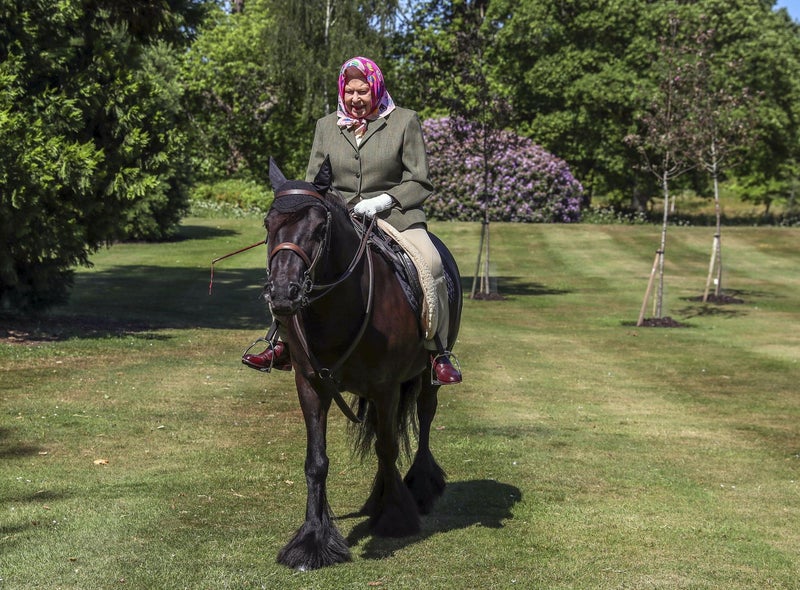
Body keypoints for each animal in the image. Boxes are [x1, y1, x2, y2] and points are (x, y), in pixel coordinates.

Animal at [264, 160, 462, 572]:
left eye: (320, 228)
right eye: (268, 224)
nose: (283, 294)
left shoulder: (385, 388)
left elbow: (387, 448)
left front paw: (395, 517)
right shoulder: (310, 386)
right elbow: (316, 462)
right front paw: (312, 540)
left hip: (427, 376)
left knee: (425, 417)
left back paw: (419, 487)